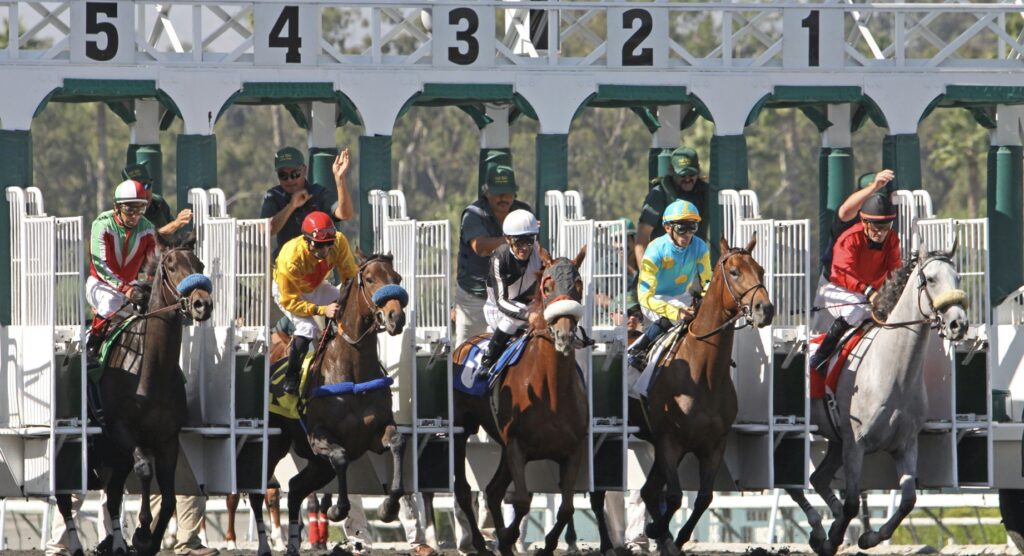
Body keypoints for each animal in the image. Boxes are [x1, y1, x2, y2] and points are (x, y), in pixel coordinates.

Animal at [454, 247, 589, 556]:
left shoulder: (573, 450)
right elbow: (523, 501)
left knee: (493, 491)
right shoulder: (517, 446)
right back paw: (480, 544)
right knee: (464, 490)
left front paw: (545, 546)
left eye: (578, 285)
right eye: (547, 286)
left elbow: (566, 507)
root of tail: (466, 343)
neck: (551, 391)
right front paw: (505, 538)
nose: (564, 334)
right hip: (462, 427)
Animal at [634, 235, 770, 552]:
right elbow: (674, 496)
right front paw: (657, 529)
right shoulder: (669, 441)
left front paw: (675, 537)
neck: (703, 374)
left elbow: (704, 497)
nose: (765, 309)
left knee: (649, 491)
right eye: (734, 272)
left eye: (760, 270)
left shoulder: (714, 445)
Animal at [782, 241, 966, 556]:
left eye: (957, 278)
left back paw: (826, 525)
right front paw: (835, 538)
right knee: (795, 484)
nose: (958, 324)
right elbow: (852, 502)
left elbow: (908, 500)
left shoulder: (906, 444)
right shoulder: (855, 445)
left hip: (835, 441)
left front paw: (870, 536)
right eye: (931, 280)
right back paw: (819, 529)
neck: (895, 371)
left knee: (818, 479)